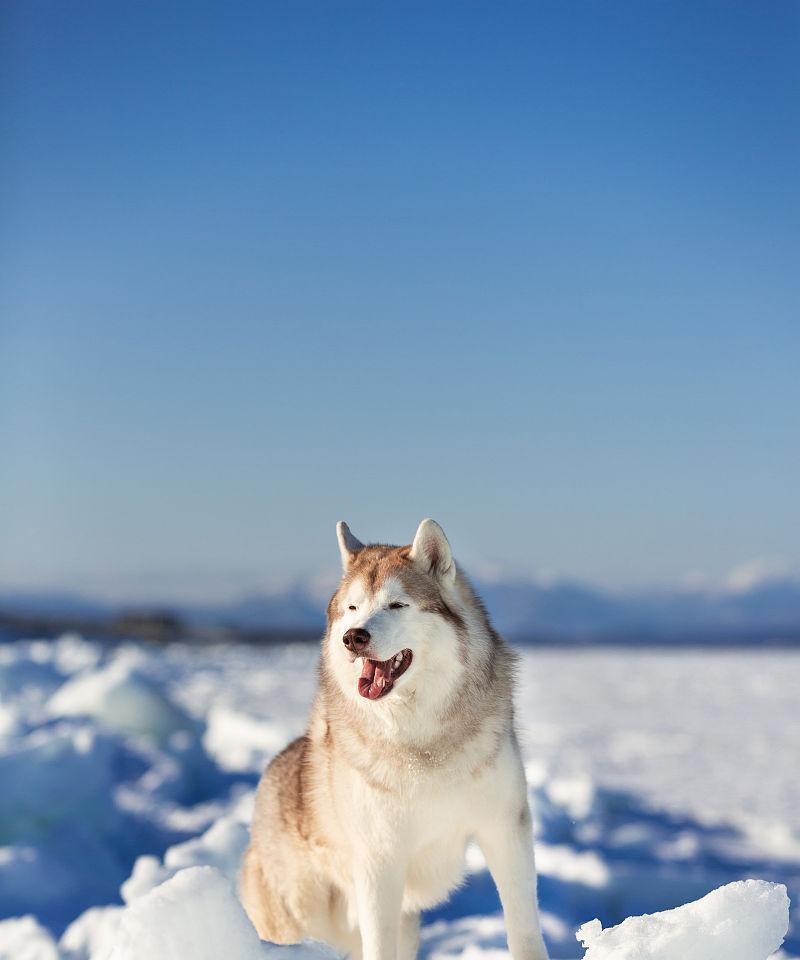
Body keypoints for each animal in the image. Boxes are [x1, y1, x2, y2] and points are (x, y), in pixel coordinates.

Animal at [241, 524, 548, 960]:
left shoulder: (505, 831)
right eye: (352, 608)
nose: (354, 637)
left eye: (397, 605)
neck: (423, 744)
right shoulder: (378, 861)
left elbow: (524, 932)